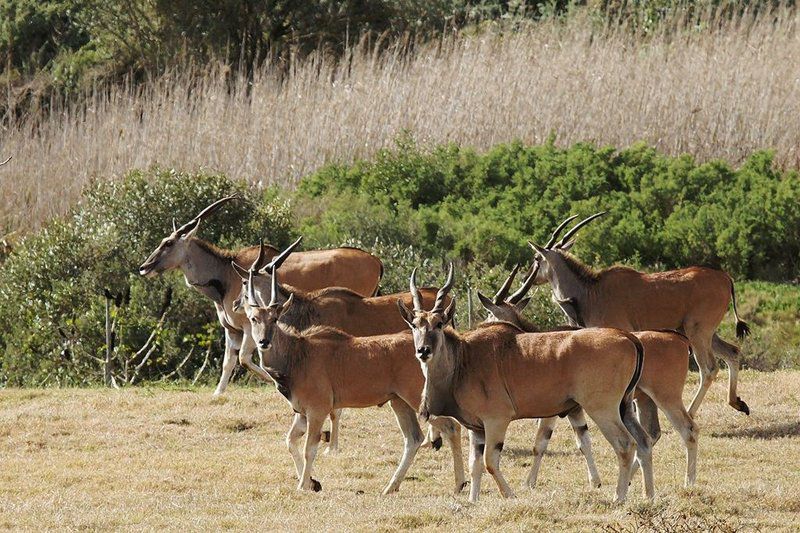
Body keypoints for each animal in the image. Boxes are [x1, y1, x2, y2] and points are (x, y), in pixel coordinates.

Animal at [244, 266, 468, 494]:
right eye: (254, 319)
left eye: (275, 318)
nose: (264, 342)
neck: (298, 353)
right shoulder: (302, 413)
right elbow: (290, 441)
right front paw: (313, 482)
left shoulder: (317, 410)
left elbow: (309, 448)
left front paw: (302, 485)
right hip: (399, 402)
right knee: (413, 438)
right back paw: (390, 487)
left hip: (417, 400)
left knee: (451, 427)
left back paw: (459, 483)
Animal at [396, 264, 652, 500]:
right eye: (414, 325)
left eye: (439, 324)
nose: (423, 351)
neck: (464, 359)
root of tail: (628, 338)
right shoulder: (476, 428)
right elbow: (475, 465)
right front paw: (473, 500)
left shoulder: (497, 420)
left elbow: (490, 462)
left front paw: (510, 494)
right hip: (625, 407)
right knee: (644, 441)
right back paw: (648, 495)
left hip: (602, 409)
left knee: (625, 444)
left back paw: (619, 497)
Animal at [528, 212, 752, 416]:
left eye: (537, 258)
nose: (528, 277)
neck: (591, 291)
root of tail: (725, 278)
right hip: (701, 332)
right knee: (732, 352)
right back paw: (737, 403)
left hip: (697, 332)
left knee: (709, 368)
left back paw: (690, 412)